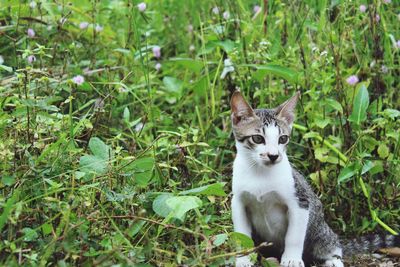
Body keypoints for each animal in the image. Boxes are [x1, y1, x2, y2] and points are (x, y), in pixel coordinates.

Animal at [231, 91, 344, 267]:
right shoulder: (238, 202)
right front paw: (243, 259)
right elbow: (242, 235)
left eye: (283, 139)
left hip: (319, 231)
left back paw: (333, 260)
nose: (273, 155)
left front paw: (291, 259)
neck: (260, 173)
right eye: (258, 138)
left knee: (333, 245)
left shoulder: (300, 201)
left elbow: (294, 236)